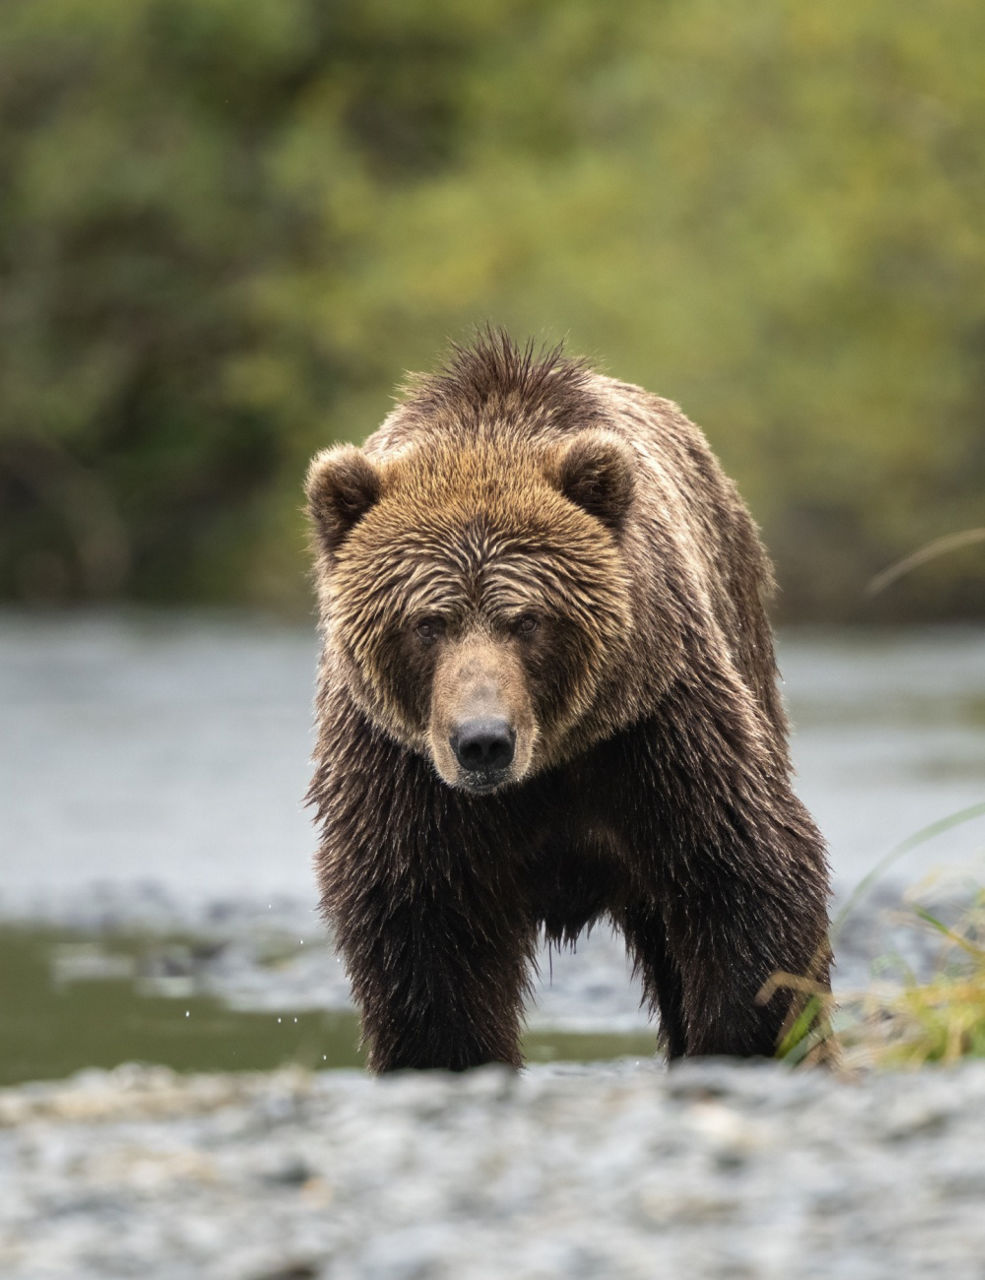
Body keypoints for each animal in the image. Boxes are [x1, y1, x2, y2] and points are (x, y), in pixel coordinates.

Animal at [305, 332, 831, 1073]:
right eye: (427, 623)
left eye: (527, 619)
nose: (483, 741)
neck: (546, 767)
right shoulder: (402, 772)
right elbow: (421, 925)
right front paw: (447, 1055)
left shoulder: (652, 728)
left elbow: (742, 877)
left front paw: (749, 1041)